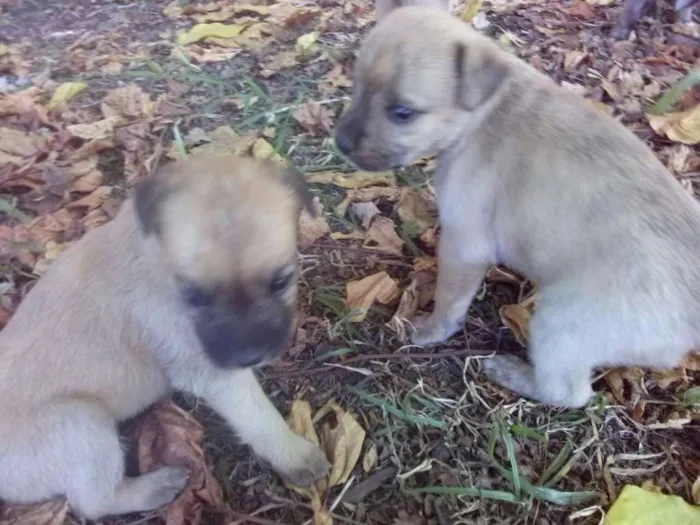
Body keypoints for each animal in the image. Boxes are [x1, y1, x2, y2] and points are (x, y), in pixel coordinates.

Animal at [0, 155, 330, 520]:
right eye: (194, 296)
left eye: (281, 281)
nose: (251, 356)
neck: (155, 255)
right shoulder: (211, 375)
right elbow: (259, 416)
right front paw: (294, 454)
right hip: (81, 422)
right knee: (95, 502)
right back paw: (155, 487)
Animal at [334, 6, 700, 410]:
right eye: (357, 84)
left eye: (403, 113)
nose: (340, 142)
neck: (483, 110)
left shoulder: (464, 247)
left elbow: (449, 301)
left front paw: (429, 330)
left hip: (562, 325)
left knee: (568, 393)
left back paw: (510, 373)